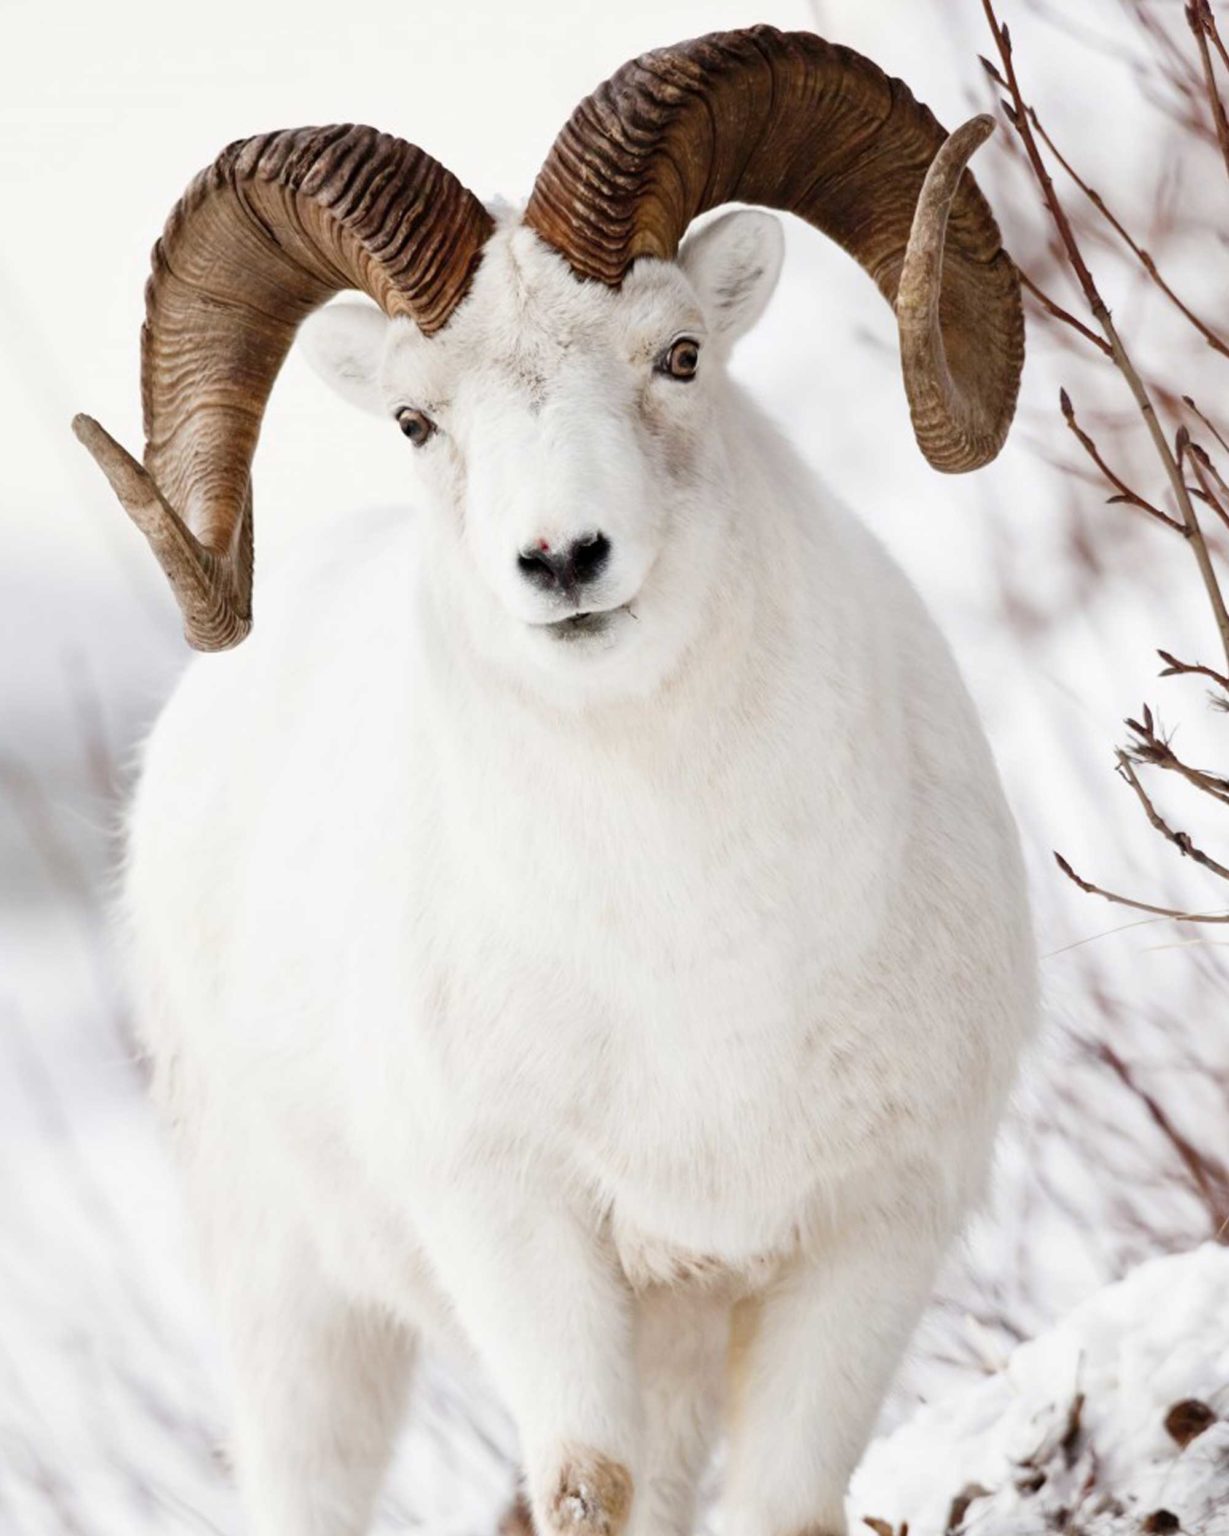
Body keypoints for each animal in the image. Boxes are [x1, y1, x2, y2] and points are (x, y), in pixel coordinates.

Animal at [73, 26, 1036, 1536]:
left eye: (679, 355)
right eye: (416, 420)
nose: (564, 560)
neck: (696, 950)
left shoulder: (864, 1244)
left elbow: (779, 1502)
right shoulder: (521, 1234)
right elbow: (591, 1485)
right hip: (302, 1314)